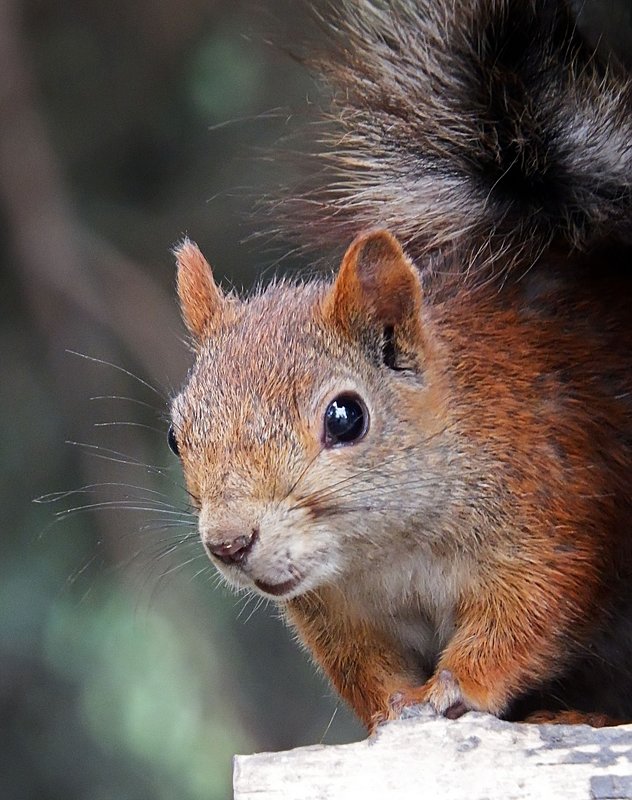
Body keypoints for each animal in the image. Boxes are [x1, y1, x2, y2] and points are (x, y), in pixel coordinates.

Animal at [167, 0, 632, 736]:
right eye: (175, 435)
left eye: (345, 417)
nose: (229, 543)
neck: (385, 552)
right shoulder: (337, 615)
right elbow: (366, 670)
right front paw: (392, 711)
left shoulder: (553, 520)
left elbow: (523, 619)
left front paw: (450, 689)